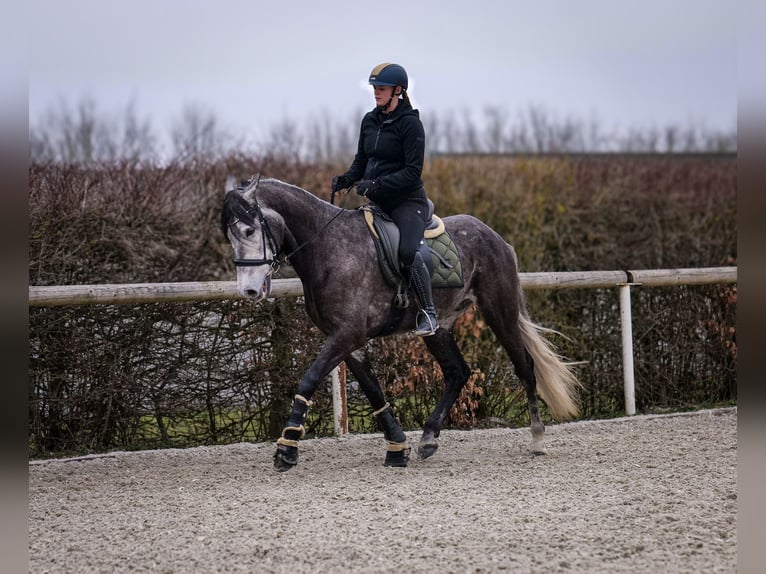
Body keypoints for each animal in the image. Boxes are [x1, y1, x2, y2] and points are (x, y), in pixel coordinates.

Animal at [222, 177, 584, 472]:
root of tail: (496, 237)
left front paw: (287, 448)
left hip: (500, 312)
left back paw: (537, 439)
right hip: (438, 327)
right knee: (457, 372)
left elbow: (309, 379)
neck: (329, 249)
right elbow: (372, 390)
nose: (249, 291)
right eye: (230, 236)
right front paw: (397, 447)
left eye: (249, 231)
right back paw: (428, 438)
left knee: (525, 367)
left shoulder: (347, 334)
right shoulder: (346, 339)